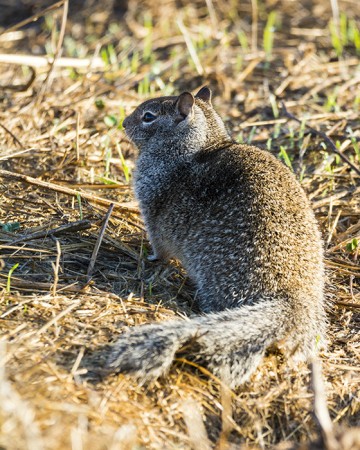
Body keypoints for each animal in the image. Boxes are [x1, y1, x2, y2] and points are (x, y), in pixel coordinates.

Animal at [105, 87, 324, 386]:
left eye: (148, 116)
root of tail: (292, 300)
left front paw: (149, 257)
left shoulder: (153, 216)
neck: (200, 146)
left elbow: (159, 248)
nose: (124, 124)